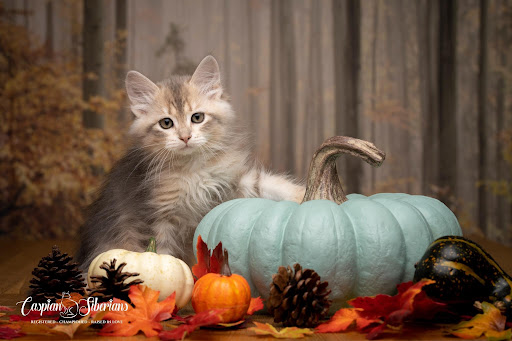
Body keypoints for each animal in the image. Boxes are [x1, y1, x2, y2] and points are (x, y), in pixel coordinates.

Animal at [77, 54, 304, 270]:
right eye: (166, 123)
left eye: (197, 117)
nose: (185, 137)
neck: (192, 170)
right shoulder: (154, 217)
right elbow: (160, 256)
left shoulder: (231, 183)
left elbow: (268, 184)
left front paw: (303, 196)